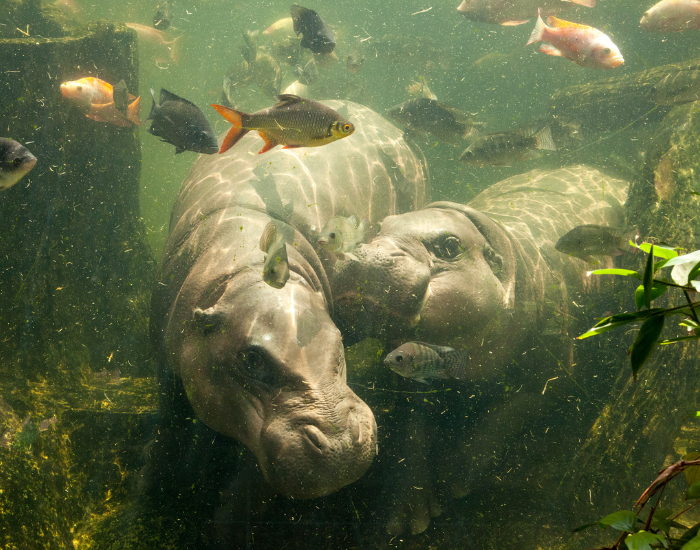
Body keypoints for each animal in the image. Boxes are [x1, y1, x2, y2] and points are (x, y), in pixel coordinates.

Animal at [149, 101, 427, 500]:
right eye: (251, 359)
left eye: (338, 343)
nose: (340, 445)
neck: (245, 270)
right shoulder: (166, 366)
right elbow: (169, 430)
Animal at [331, 165, 629, 534]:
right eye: (382, 225)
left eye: (450, 246)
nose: (362, 255)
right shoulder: (415, 375)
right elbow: (412, 435)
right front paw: (403, 521)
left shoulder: (551, 376)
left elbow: (501, 420)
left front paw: (452, 481)